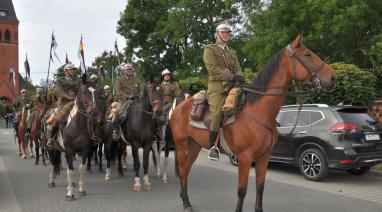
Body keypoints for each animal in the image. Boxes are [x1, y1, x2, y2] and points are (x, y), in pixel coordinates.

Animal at [169, 35, 336, 212]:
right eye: (307, 54)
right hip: (181, 145)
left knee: (186, 170)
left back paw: (186, 200)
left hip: (194, 145)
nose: (333, 78)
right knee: (182, 170)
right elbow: (242, 190)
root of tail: (179, 107)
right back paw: (186, 203)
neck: (259, 112)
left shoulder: (264, 157)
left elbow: (260, 186)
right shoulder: (245, 157)